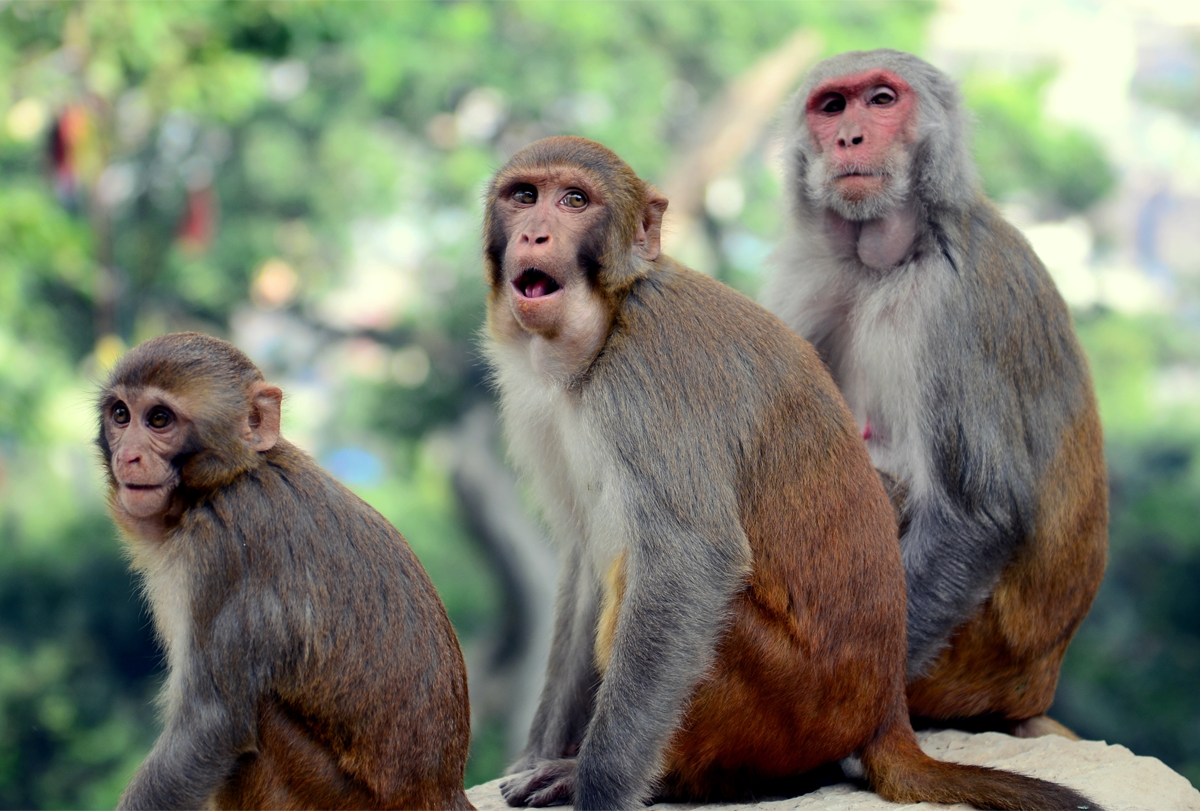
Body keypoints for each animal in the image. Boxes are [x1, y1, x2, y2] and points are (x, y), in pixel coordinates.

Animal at [98, 328, 472, 811]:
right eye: (121, 415)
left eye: (159, 419)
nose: (128, 456)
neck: (226, 480)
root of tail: (442, 792)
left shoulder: (223, 550)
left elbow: (208, 727)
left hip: (331, 794)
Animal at [480, 137, 1099, 811]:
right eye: (524, 196)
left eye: (574, 200)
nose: (535, 234)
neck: (605, 324)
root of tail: (886, 712)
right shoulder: (543, 409)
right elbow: (587, 563)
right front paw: (541, 751)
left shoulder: (648, 376)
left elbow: (687, 561)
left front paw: (597, 785)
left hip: (791, 701)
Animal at [763, 49, 1108, 734]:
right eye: (832, 107)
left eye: (882, 100)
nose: (849, 138)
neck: (888, 262)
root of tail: (1037, 686)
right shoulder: (811, 279)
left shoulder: (951, 304)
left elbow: (975, 515)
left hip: (973, 658)